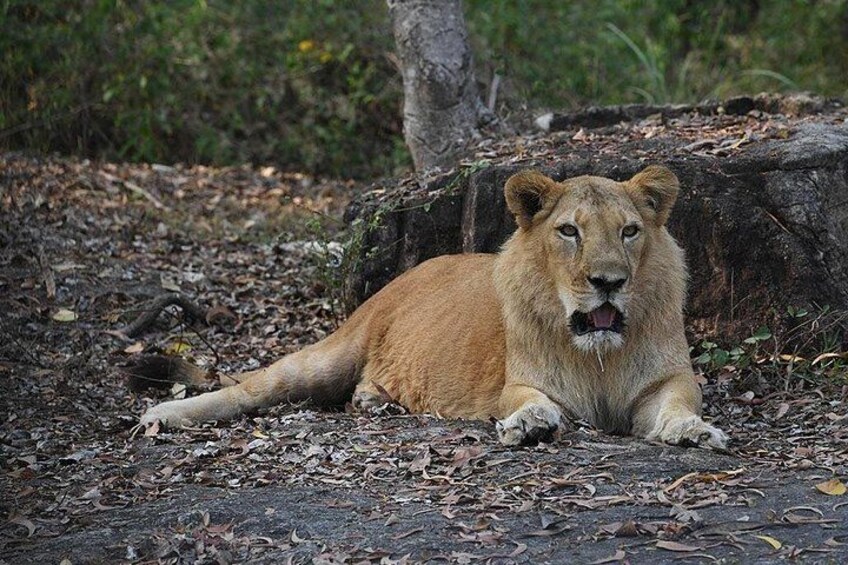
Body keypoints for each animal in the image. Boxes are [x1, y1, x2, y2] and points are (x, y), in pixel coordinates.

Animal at [135, 165, 728, 449]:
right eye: (568, 232)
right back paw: (161, 416)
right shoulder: (521, 379)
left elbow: (679, 402)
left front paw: (692, 431)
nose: (609, 282)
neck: (599, 354)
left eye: (629, 231)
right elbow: (530, 401)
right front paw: (530, 423)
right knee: (250, 387)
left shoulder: (668, 377)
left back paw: (375, 400)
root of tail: (407, 274)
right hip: (327, 355)